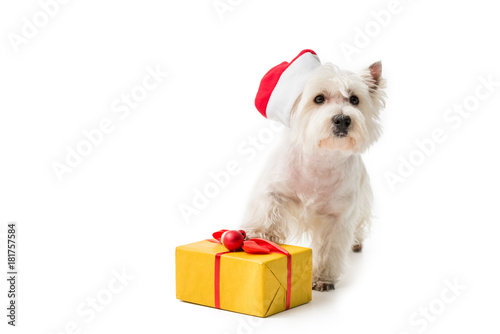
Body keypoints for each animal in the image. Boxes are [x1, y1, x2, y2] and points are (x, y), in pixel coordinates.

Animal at [242, 48, 386, 290]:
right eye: (319, 98)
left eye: (354, 99)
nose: (342, 119)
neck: (321, 161)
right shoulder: (273, 188)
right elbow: (268, 209)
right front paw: (262, 234)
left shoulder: (338, 216)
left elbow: (330, 248)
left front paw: (323, 278)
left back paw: (356, 242)